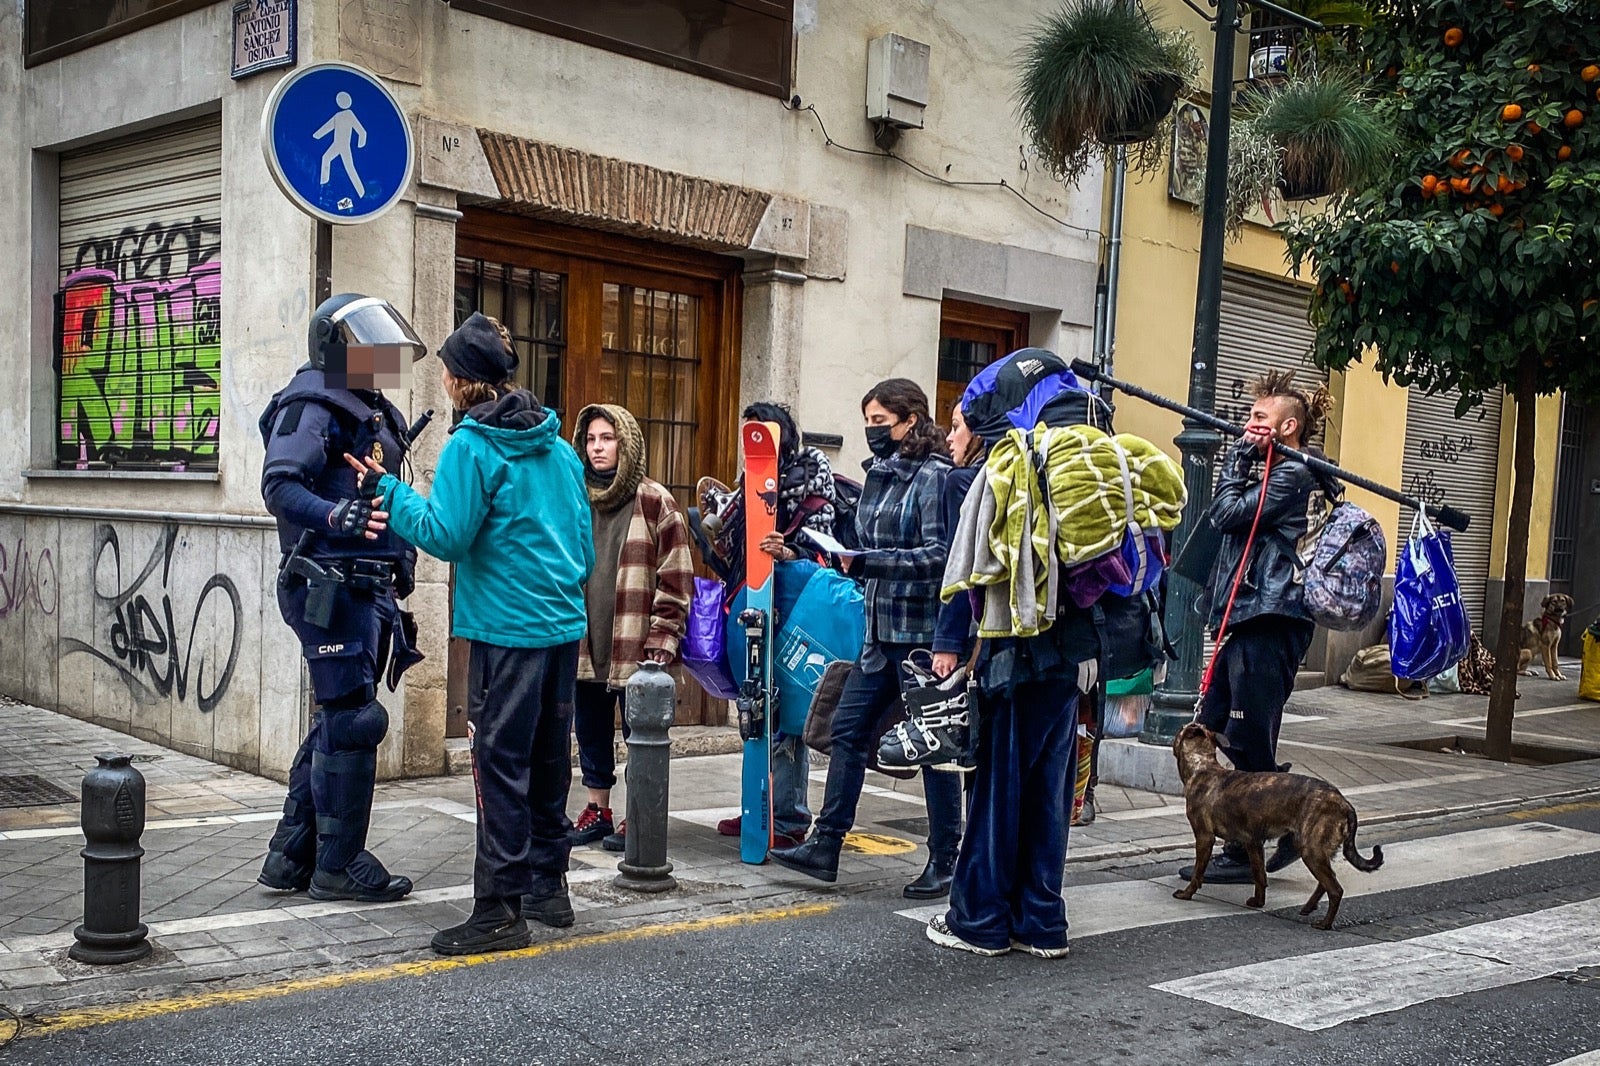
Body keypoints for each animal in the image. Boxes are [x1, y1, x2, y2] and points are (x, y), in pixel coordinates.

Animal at [1171, 717, 1382, 928]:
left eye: (1180, 729)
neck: (1203, 766)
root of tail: (1344, 803)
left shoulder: (1204, 838)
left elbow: (1198, 872)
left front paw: (1186, 894)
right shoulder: (1253, 843)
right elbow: (1259, 876)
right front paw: (1258, 902)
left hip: (1312, 851)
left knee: (1335, 889)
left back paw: (1324, 923)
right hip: (1319, 850)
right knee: (1326, 883)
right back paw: (1308, 907)